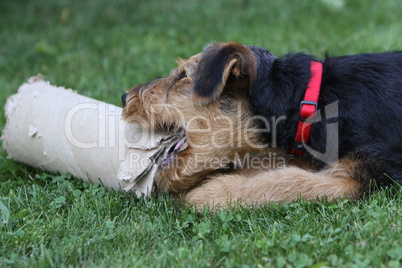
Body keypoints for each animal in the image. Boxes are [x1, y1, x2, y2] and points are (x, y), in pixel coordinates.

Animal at [121, 42, 402, 209]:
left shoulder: (379, 171)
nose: (125, 97)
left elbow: (290, 182)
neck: (312, 100)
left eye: (182, 75)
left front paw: (207, 194)